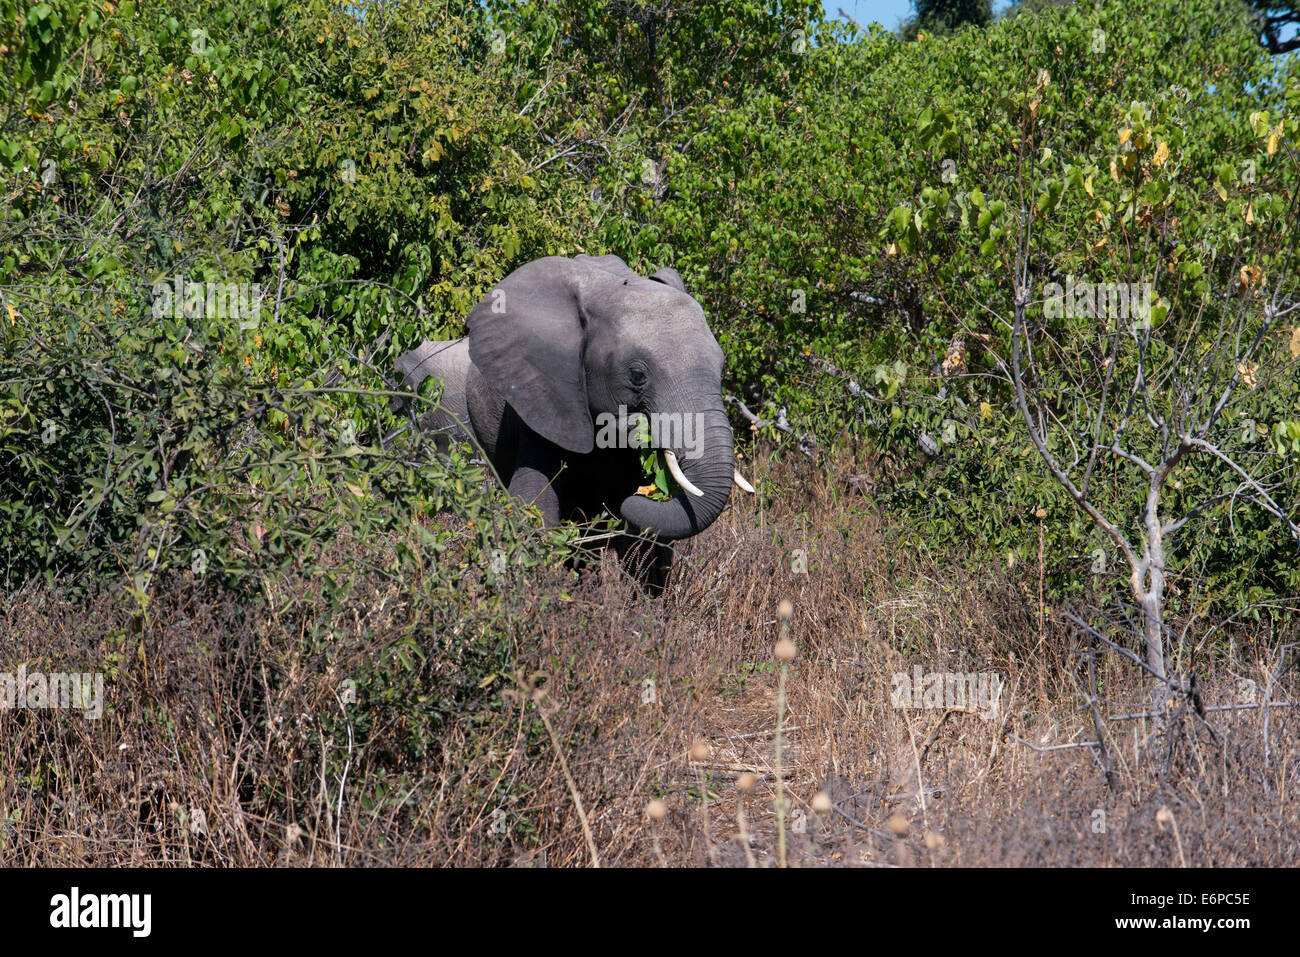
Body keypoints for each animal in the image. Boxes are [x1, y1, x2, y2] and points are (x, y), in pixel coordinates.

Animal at [390, 252, 754, 590]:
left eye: (722, 367)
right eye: (637, 375)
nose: (631, 501)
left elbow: (649, 546)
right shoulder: (541, 397)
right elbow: (535, 505)